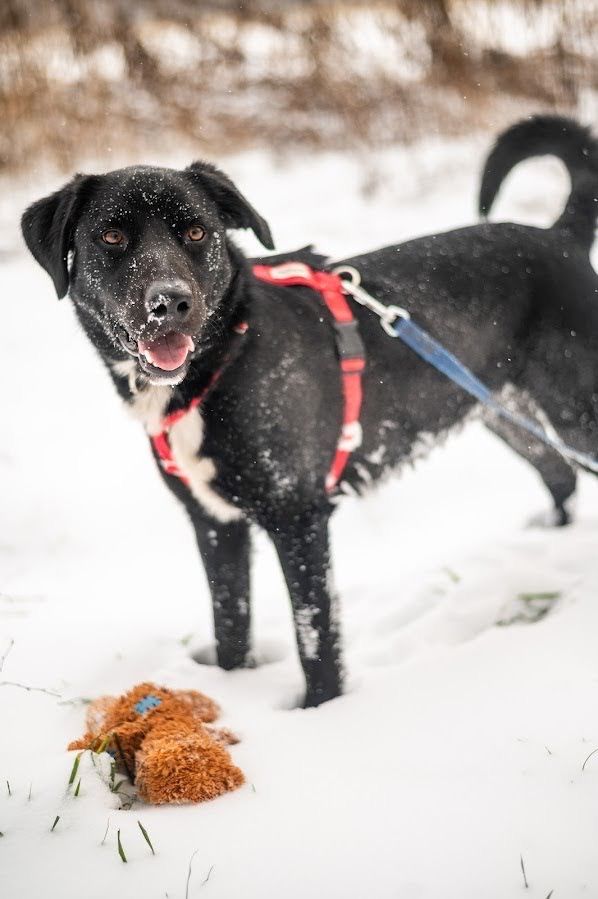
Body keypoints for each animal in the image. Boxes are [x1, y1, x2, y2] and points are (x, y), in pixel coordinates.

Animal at [22, 114, 598, 704]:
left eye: (197, 233)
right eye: (111, 236)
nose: (170, 303)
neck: (226, 358)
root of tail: (559, 237)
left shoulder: (298, 519)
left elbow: (315, 634)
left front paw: (322, 711)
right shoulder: (214, 523)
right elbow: (230, 623)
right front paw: (230, 691)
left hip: (576, 413)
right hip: (503, 412)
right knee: (559, 474)